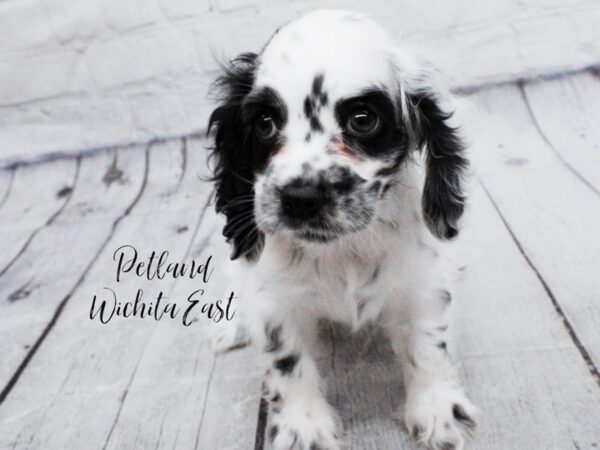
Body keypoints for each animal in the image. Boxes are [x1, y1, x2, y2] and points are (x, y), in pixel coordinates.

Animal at [207, 10, 478, 450]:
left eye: (363, 119)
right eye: (264, 123)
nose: (300, 197)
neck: (343, 251)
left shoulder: (419, 282)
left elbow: (428, 344)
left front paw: (438, 410)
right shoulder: (274, 298)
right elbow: (287, 360)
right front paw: (303, 426)